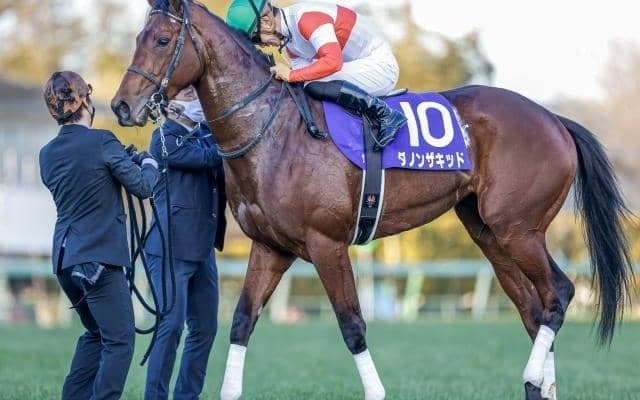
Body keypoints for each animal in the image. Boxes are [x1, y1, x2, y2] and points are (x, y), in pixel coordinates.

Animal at [111, 1, 633, 399]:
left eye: (162, 40)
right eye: (138, 37)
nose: (122, 106)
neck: (272, 132)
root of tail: (552, 118)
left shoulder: (326, 243)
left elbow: (352, 325)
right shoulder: (270, 247)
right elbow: (241, 322)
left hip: (519, 228)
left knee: (559, 293)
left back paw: (531, 373)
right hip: (489, 231)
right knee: (535, 308)